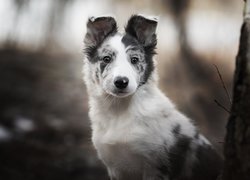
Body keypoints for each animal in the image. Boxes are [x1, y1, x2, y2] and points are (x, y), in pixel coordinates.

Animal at [83, 14, 222, 180]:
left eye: (134, 59)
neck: (120, 110)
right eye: (106, 59)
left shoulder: (156, 166)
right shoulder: (114, 168)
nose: (121, 82)